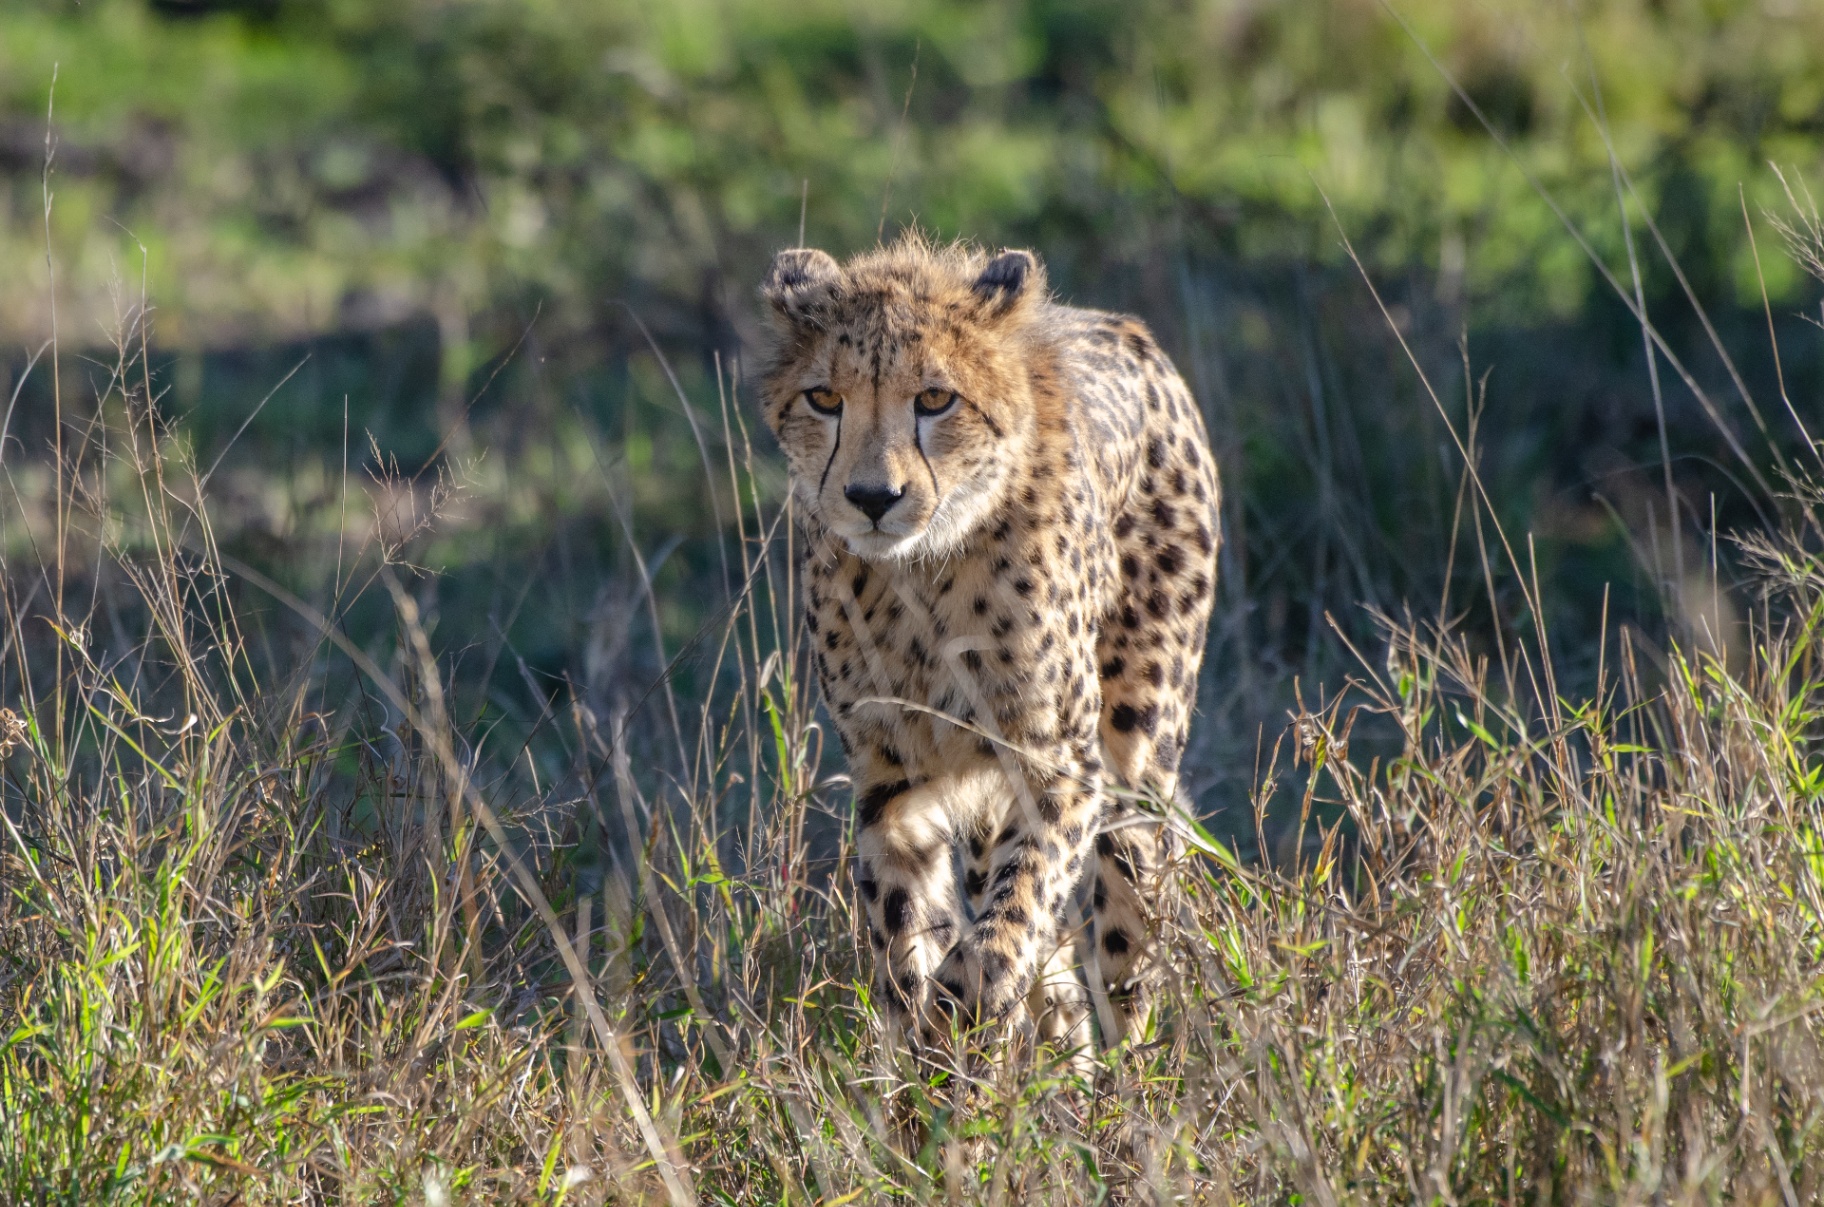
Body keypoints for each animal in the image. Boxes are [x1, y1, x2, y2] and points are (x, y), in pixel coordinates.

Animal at [758, 235, 1221, 1063]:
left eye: (935, 400)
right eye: (824, 399)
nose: (872, 498)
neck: (920, 570)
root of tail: (1126, 328)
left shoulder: (1061, 767)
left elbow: (1004, 934)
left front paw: (962, 1023)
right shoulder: (892, 782)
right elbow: (907, 942)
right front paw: (928, 1073)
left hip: (1134, 763)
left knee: (1124, 944)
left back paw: (1123, 1087)